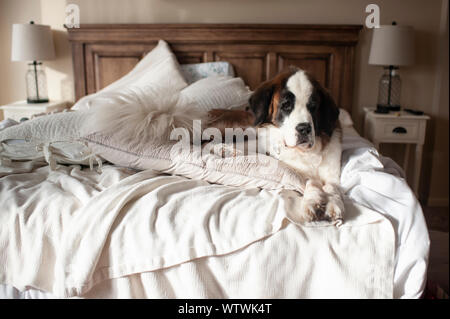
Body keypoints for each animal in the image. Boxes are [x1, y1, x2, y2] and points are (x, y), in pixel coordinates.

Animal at [209, 67, 342, 222]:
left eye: (313, 107)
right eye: (286, 106)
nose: (304, 128)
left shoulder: (333, 170)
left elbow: (333, 187)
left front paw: (333, 204)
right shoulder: (298, 171)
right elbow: (311, 182)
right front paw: (312, 202)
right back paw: (224, 149)